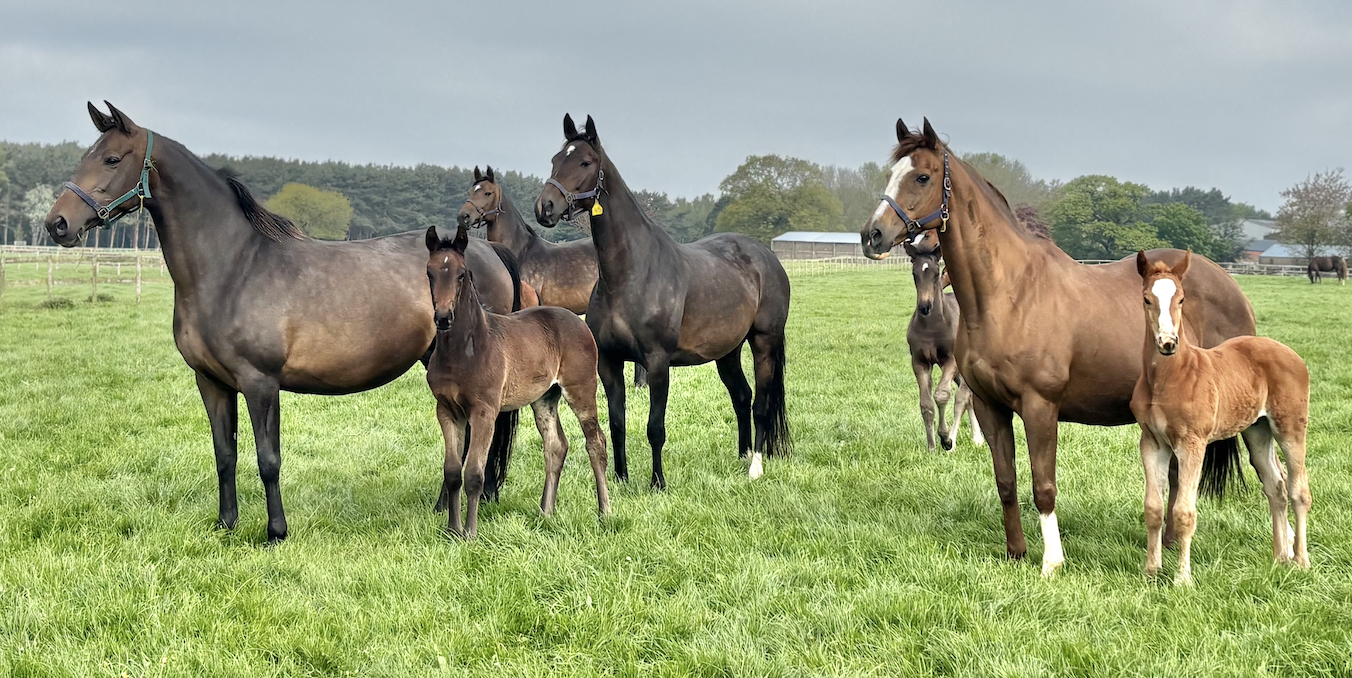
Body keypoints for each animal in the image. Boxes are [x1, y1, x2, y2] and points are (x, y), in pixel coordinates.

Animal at [44, 102, 526, 542]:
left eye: (111, 159)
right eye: (88, 155)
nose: (57, 223)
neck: (233, 267)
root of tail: (485, 250)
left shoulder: (260, 384)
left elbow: (268, 460)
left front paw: (276, 531)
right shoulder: (211, 382)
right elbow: (225, 455)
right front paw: (226, 524)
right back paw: (441, 507)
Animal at [424, 225, 611, 538]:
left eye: (462, 274)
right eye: (430, 272)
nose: (443, 318)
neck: (463, 350)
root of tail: (578, 321)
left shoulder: (484, 411)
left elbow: (474, 472)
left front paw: (470, 534)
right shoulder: (447, 411)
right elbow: (452, 472)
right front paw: (452, 530)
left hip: (581, 390)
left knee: (595, 442)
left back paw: (604, 511)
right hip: (544, 398)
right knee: (556, 445)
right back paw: (546, 511)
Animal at [534, 114, 792, 488]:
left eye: (584, 162)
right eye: (555, 159)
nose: (545, 207)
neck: (629, 274)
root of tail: (767, 257)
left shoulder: (657, 363)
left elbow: (655, 427)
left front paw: (657, 482)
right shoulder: (609, 362)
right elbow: (617, 422)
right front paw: (621, 479)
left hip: (764, 342)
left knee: (760, 403)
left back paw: (754, 467)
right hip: (727, 351)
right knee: (742, 397)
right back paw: (742, 455)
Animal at [903, 232, 981, 452]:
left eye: (936, 273)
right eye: (914, 274)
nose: (924, 307)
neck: (932, 326)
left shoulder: (950, 361)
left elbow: (942, 395)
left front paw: (946, 438)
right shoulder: (920, 362)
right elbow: (926, 404)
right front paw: (931, 447)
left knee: (964, 397)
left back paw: (964, 440)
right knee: (968, 396)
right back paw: (976, 437)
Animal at [1131, 250, 1311, 584]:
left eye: (1182, 298)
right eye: (1147, 298)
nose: (1167, 343)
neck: (1170, 376)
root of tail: (1290, 353)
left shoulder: (1192, 443)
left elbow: (1184, 511)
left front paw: (1182, 578)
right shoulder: (1152, 443)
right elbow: (1154, 508)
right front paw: (1151, 572)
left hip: (1291, 428)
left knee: (1298, 490)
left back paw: (1301, 560)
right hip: (1257, 431)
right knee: (1276, 488)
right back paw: (1279, 558)